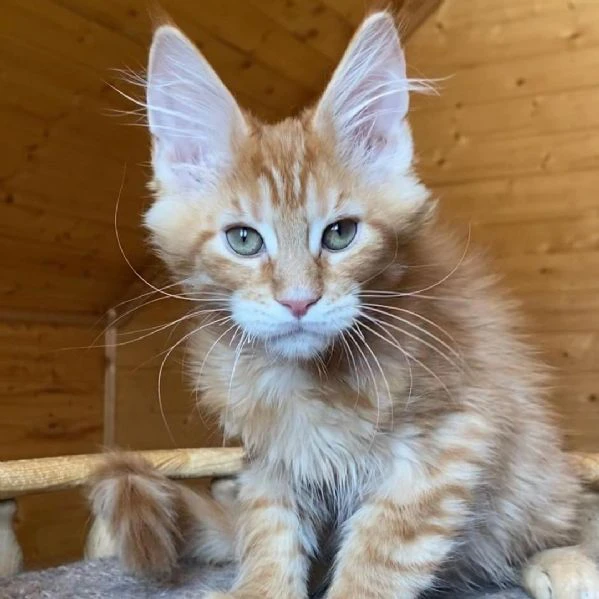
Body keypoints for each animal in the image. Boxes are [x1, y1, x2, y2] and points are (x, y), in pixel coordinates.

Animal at [89, 10, 599, 599]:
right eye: (243, 240)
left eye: (340, 234)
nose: (298, 300)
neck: (308, 381)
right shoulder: (270, 461)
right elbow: (266, 534)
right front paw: (260, 586)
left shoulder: (445, 443)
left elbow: (378, 561)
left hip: (534, 478)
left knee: (563, 518)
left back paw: (564, 561)